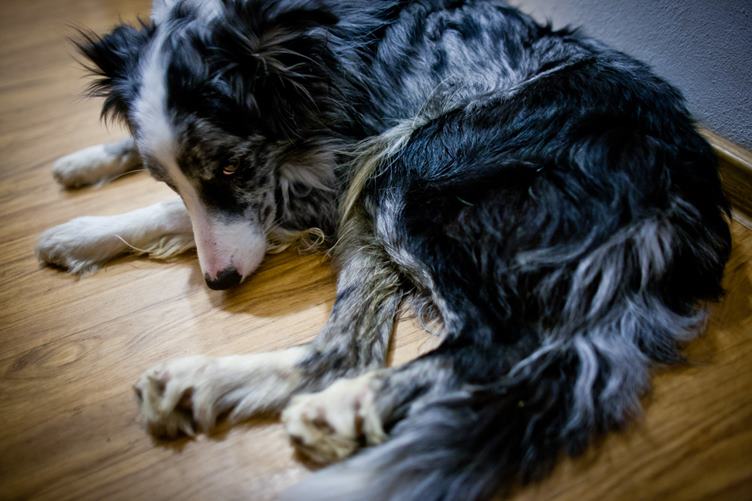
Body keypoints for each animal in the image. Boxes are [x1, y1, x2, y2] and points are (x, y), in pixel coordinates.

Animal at [36, 0, 732, 499]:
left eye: (232, 168)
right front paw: (81, 169)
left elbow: (187, 217)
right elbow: (150, 173)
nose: (220, 282)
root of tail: (679, 201)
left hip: (407, 166)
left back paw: (331, 404)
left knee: (487, 344)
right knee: (347, 348)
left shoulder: (327, 179)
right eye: (166, 174)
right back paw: (208, 387)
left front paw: (80, 230)